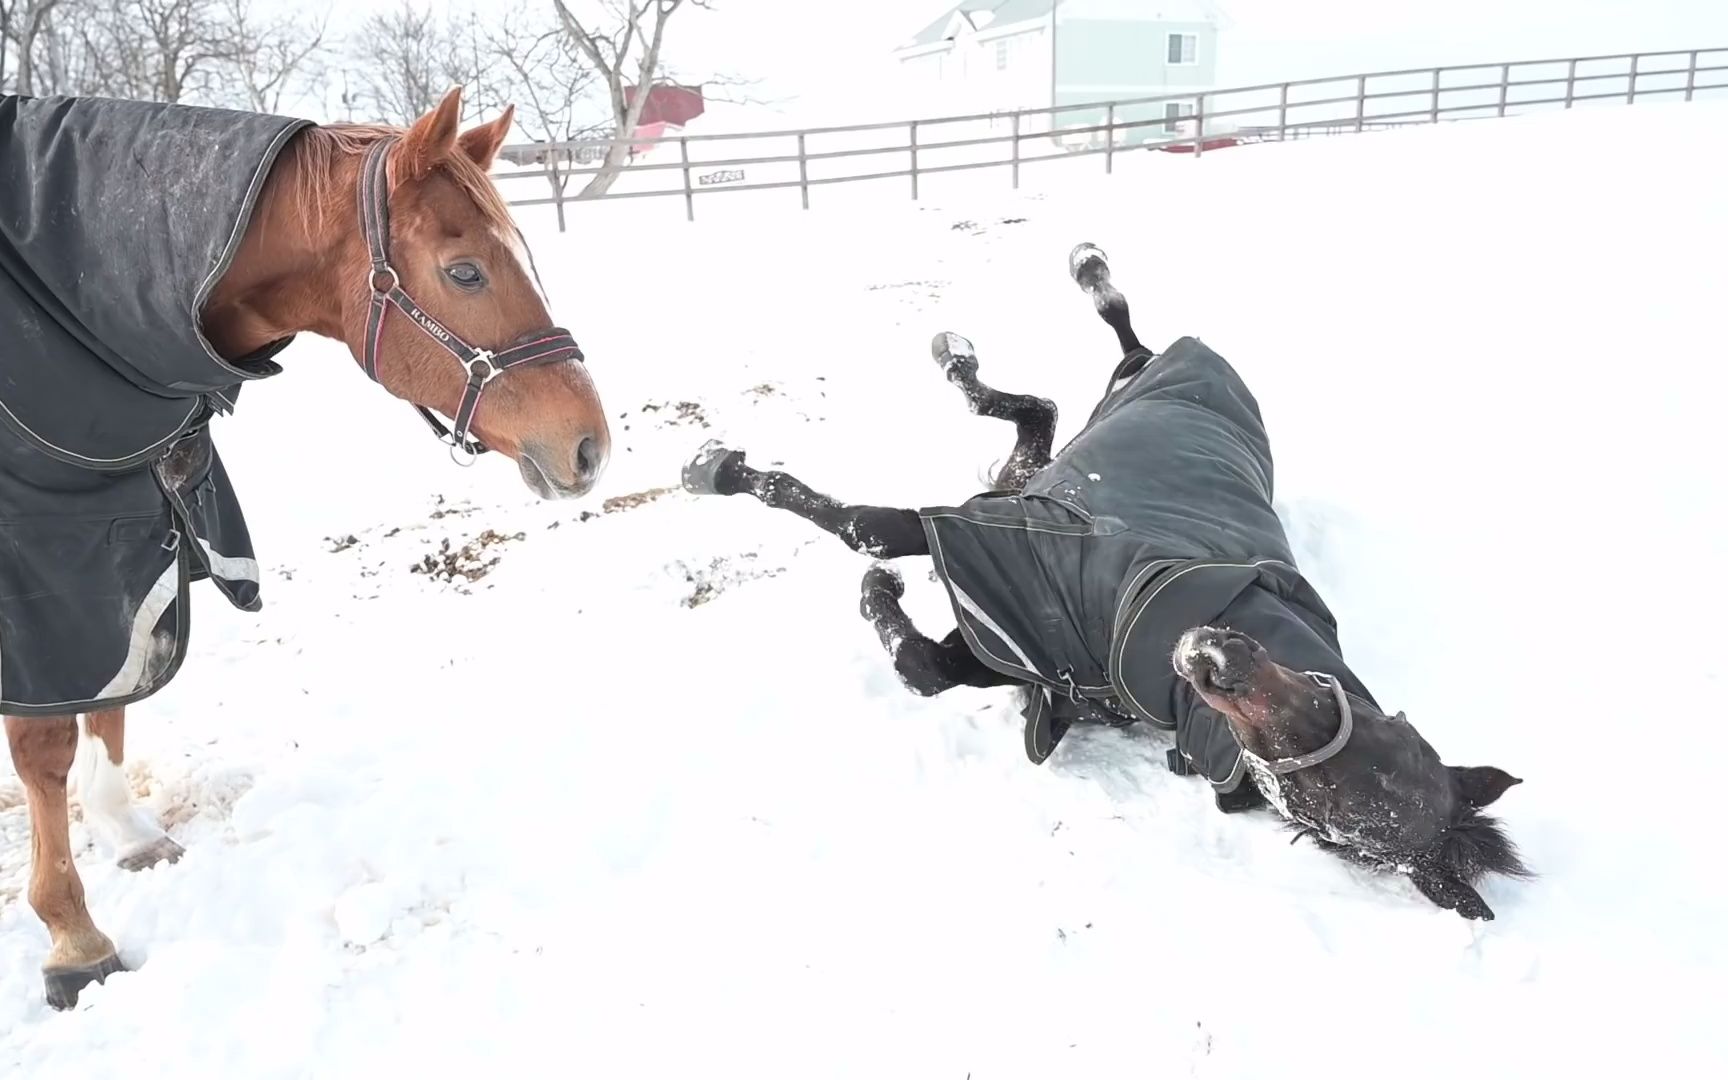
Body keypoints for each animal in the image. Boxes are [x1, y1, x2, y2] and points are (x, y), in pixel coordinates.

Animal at [3, 88, 611, 1009]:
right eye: (466, 272)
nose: (589, 446)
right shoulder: (36, 559)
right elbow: (45, 742)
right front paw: (74, 938)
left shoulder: (121, 527)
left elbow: (119, 687)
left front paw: (122, 829)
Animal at [680, 241, 1534, 919]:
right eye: (1332, 702)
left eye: (1316, 792)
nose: (1217, 657)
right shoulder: (1006, 539)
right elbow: (856, 519)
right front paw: (721, 471)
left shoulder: (1006, 631)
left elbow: (910, 640)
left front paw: (872, 585)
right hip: (1069, 448)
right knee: (1091, 362)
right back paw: (1042, 297)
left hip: (1030, 486)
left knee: (1038, 411)